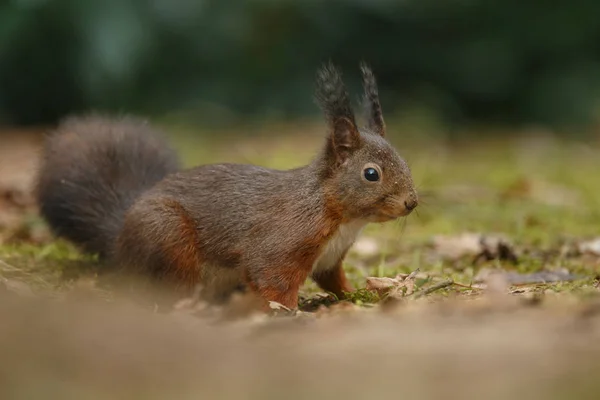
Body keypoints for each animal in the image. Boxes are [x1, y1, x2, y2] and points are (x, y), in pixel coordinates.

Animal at [34, 63, 418, 310]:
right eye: (371, 174)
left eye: (403, 158)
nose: (411, 203)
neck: (338, 214)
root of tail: (120, 240)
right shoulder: (282, 243)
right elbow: (272, 278)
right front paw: (289, 313)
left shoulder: (330, 259)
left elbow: (334, 281)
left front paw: (358, 296)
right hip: (166, 236)